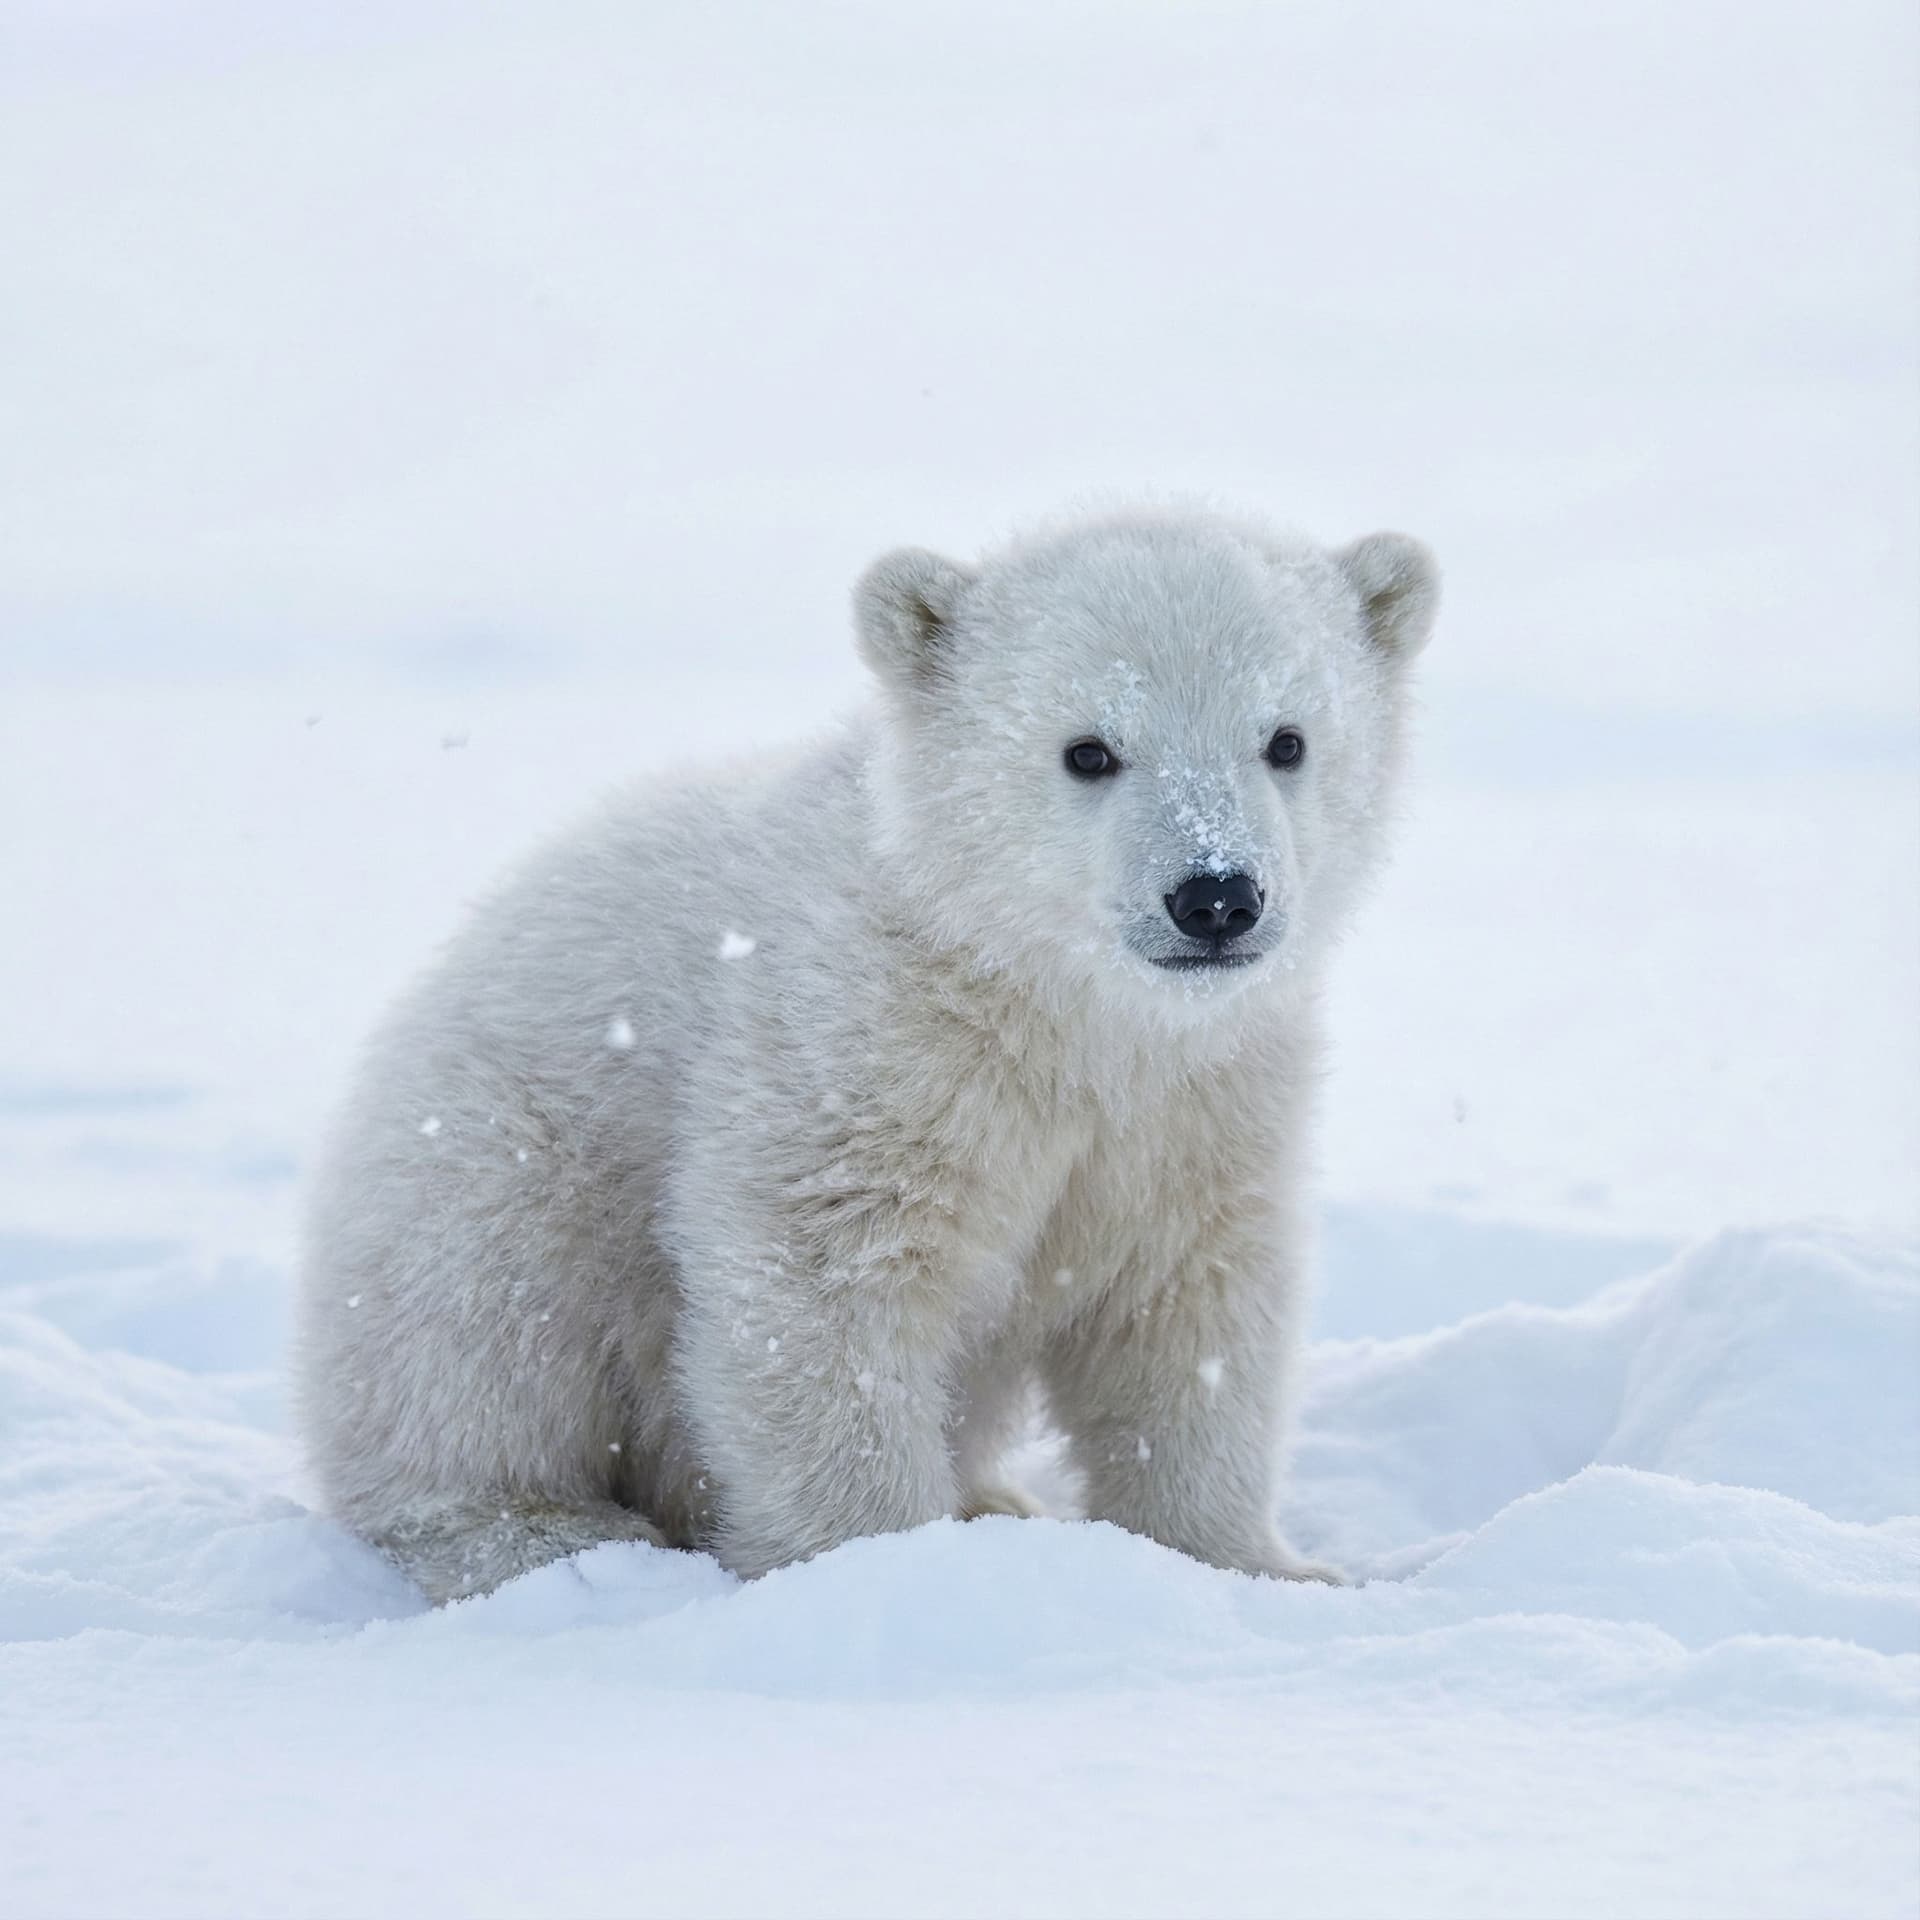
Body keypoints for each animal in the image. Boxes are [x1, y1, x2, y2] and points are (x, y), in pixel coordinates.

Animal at [293, 506, 1439, 1602]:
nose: (1215, 897)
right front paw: (883, 1571)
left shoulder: (1200, 1101)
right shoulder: (856, 1041)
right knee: (482, 1337)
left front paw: (1264, 1568)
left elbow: (1184, 1311)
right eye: (1088, 749)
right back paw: (546, 1534)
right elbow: (823, 1286)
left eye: (1286, 740)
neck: (1050, 998)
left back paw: (994, 1498)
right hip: (491, 1161)